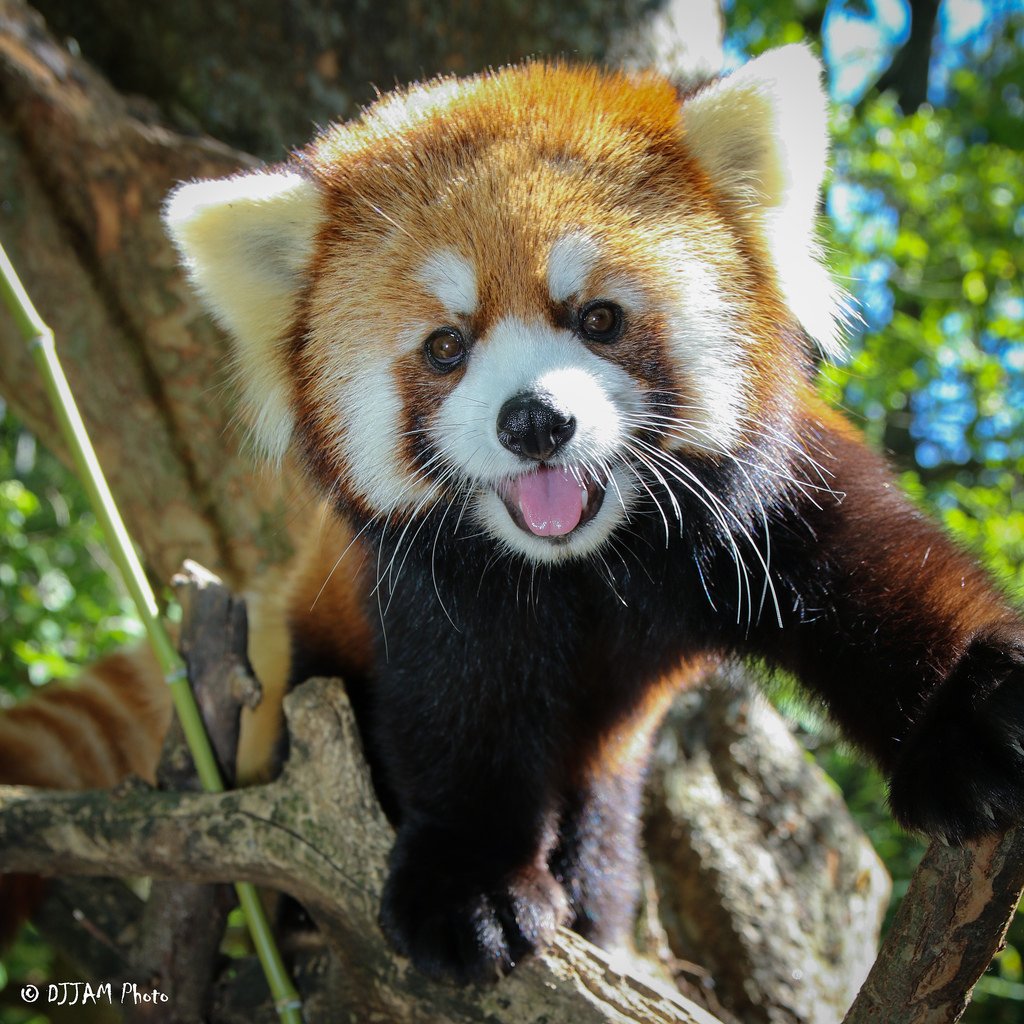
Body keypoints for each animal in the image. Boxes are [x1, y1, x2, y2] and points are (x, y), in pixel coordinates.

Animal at [4, 46, 1019, 983]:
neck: (590, 564)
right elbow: (462, 719)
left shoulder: (765, 498)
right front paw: (475, 889)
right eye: (445, 347)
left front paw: (977, 711)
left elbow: (876, 578)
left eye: (599, 318)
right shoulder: (428, 589)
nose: (533, 421)